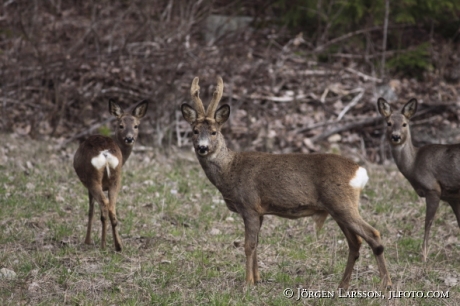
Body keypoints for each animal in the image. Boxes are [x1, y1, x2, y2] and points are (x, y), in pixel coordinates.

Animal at [73, 100, 147, 251]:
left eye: (136, 125)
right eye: (121, 125)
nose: (129, 138)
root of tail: (105, 153)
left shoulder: (89, 187)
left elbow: (90, 211)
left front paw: (87, 240)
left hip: (93, 179)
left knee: (104, 205)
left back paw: (103, 245)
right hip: (116, 177)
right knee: (112, 207)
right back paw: (118, 245)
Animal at [181, 76, 392, 290]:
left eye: (214, 132)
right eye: (195, 131)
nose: (202, 148)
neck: (230, 170)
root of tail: (359, 171)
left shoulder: (249, 205)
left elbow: (248, 245)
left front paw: (248, 283)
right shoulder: (260, 211)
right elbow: (256, 243)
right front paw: (258, 279)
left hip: (341, 203)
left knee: (373, 235)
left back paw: (387, 284)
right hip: (338, 207)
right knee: (355, 243)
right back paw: (343, 285)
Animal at [378, 98, 460, 260]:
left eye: (405, 124)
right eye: (389, 123)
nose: (396, 137)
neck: (413, 165)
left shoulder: (433, 188)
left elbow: (427, 223)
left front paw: (424, 255)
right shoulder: (452, 197)